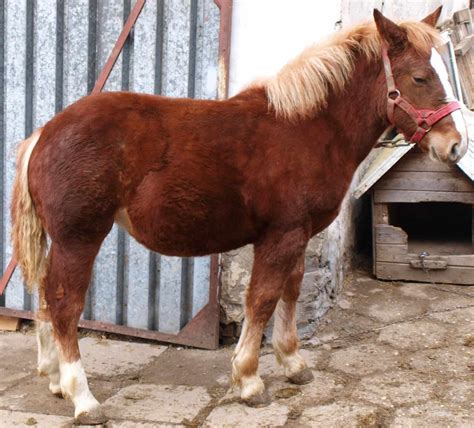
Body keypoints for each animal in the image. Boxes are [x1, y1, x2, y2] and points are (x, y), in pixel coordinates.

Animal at [10, 7, 466, 424]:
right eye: (419, 78)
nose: (455, 146)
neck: (310, 128)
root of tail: (44, 133)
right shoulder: (281, 234)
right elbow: (261, 299)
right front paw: (248, 380)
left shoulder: (299, 234)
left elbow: (291, 291)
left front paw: (292, 363)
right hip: (79, 238)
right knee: (64, 304)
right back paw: (82, 397)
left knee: (47, 300)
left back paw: (55, 379)